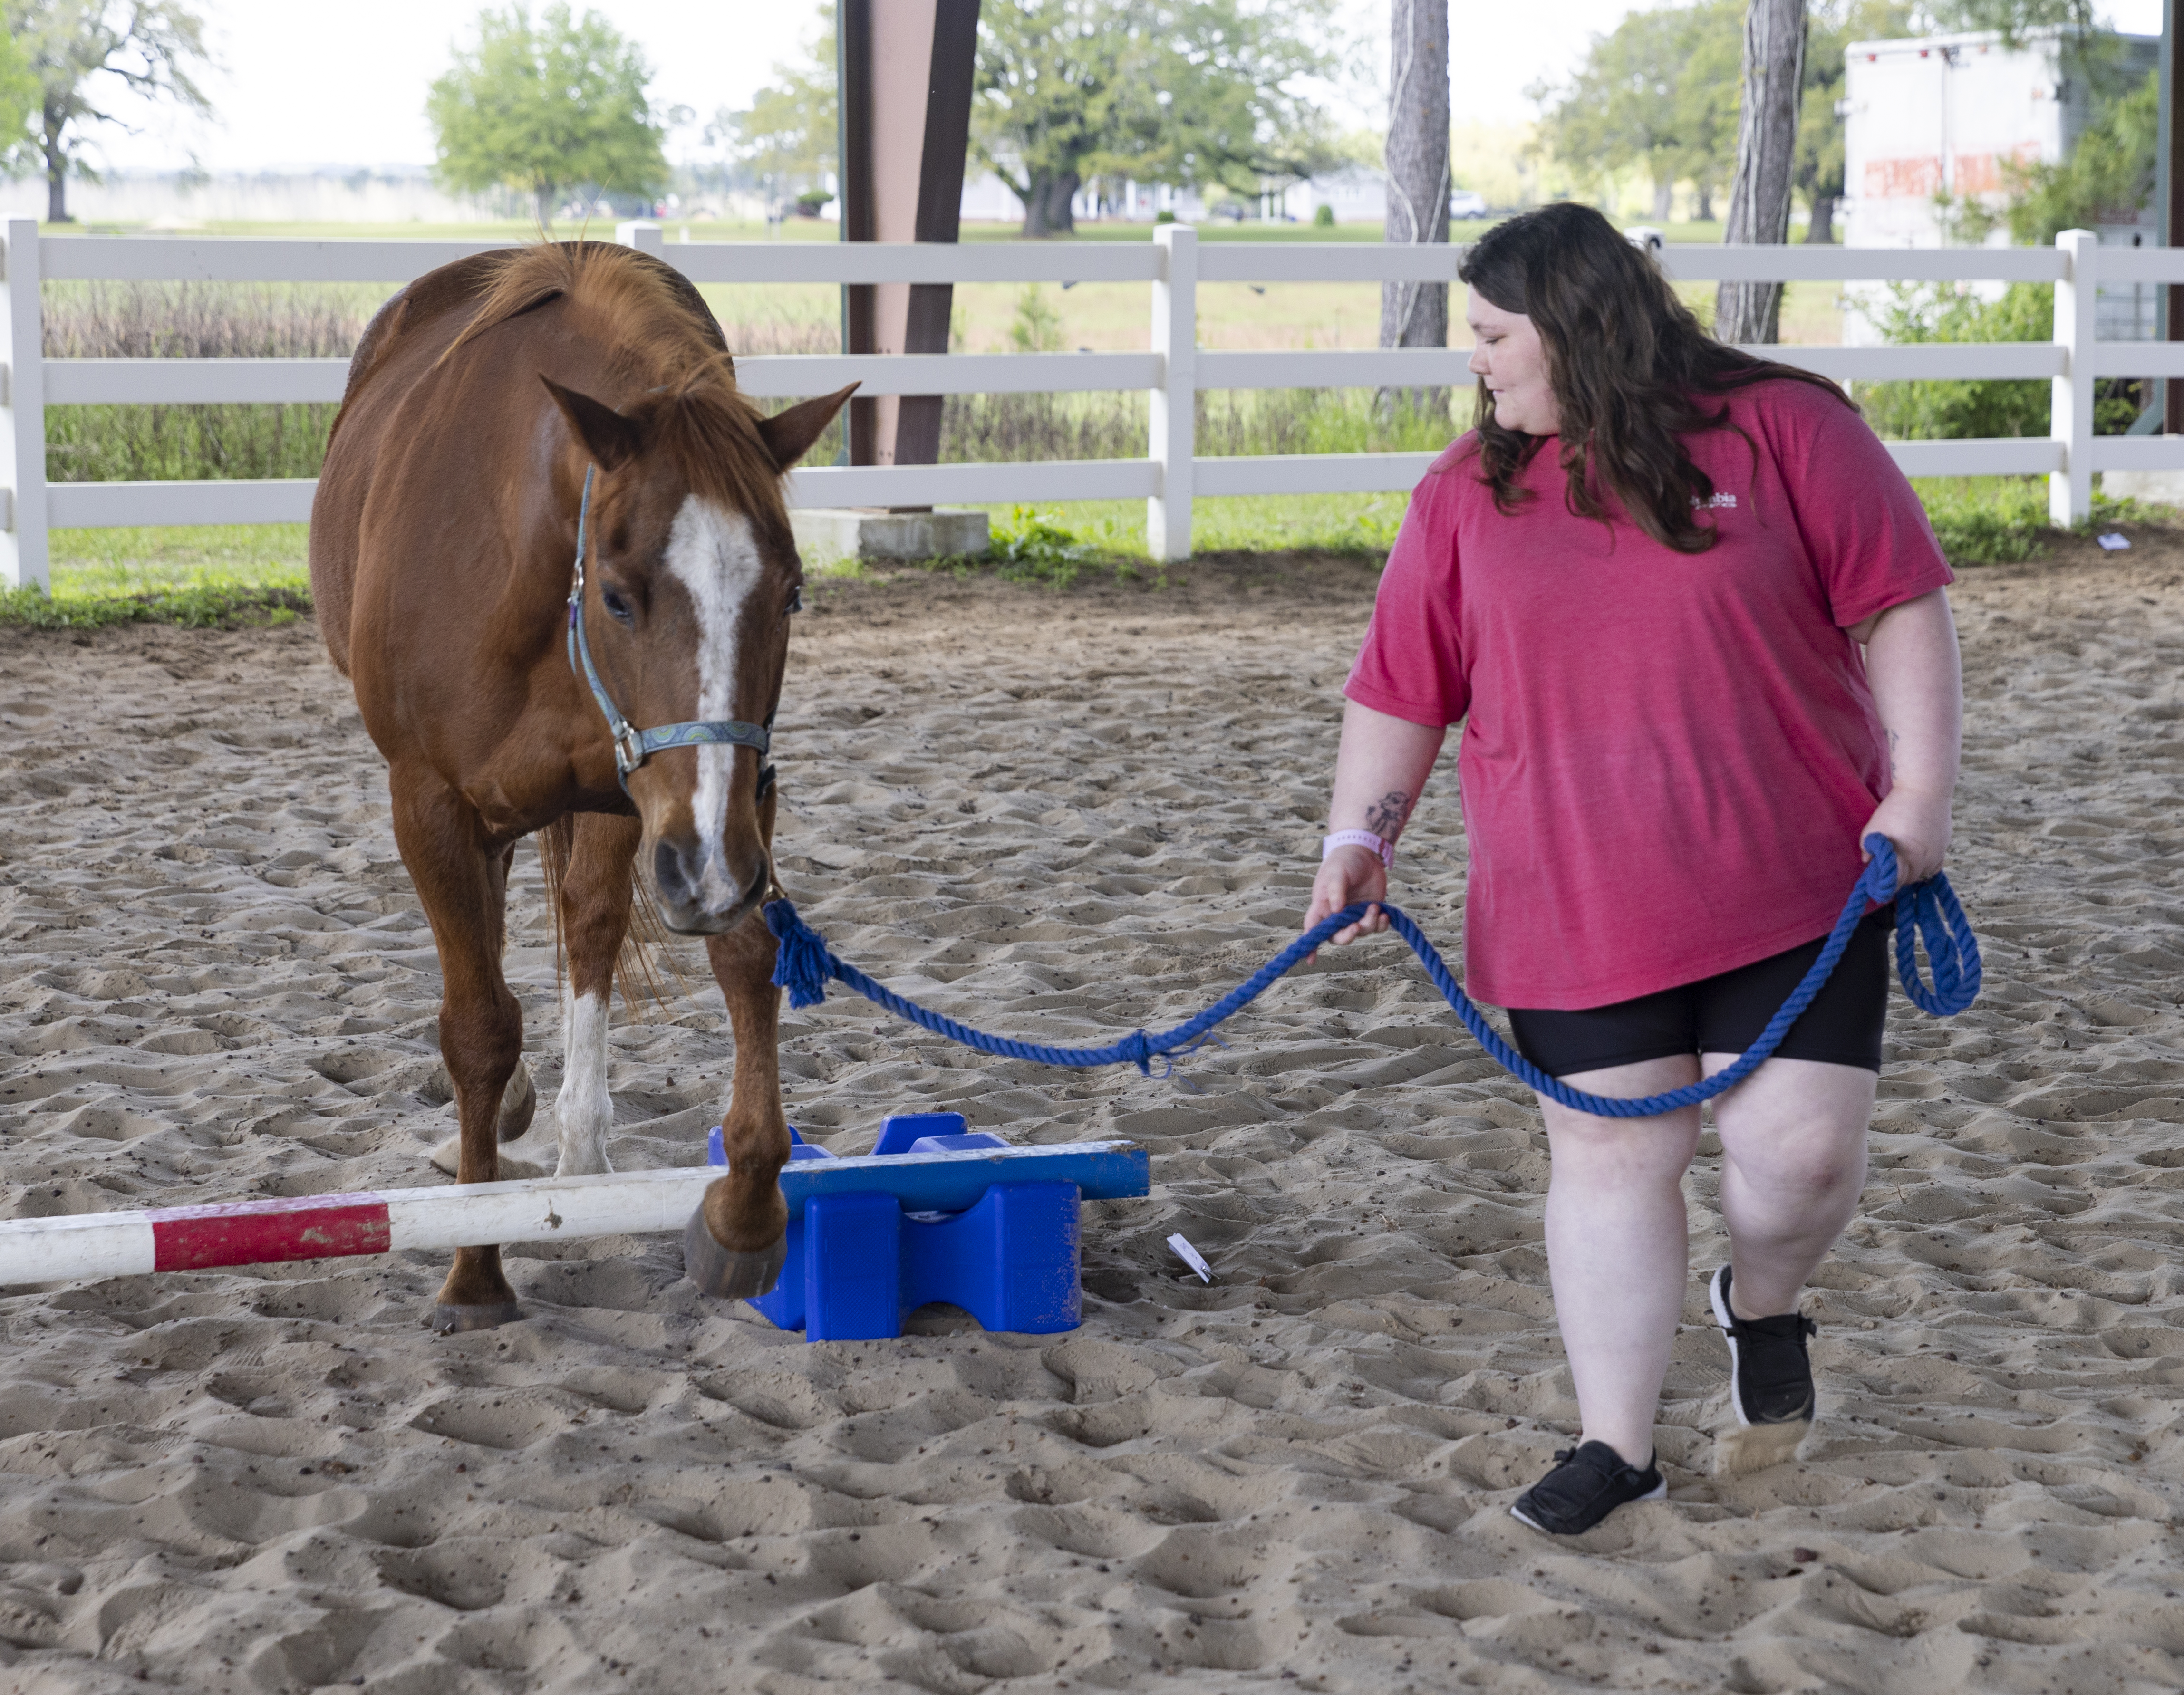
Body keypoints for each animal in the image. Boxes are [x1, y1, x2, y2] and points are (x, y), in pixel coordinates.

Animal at [308, 241, 851, 1328]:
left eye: (791, 593)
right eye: (618, 595)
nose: (709, 871)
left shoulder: (721, 799)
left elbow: (743, 958)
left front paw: (744, 1210)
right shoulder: (430, 804)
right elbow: (477, 1025)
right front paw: (474, 1271)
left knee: (587, 927)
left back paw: (580, 1149)